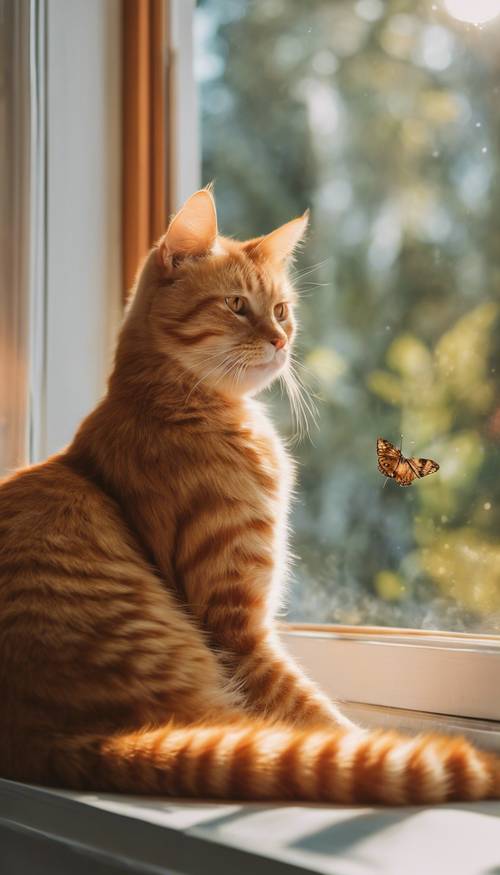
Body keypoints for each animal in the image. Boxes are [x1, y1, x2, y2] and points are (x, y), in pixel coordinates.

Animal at [0, 188, 498, 804]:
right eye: (237, 305)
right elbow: (315, 713)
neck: (180, 405)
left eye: (281, 310)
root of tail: (46, 736)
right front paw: (357, 738)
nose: (281, 340)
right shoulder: (238, 627)